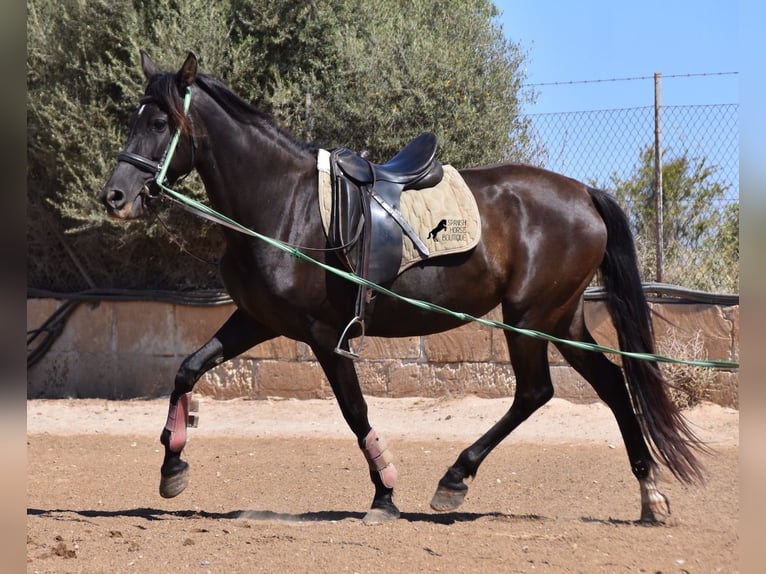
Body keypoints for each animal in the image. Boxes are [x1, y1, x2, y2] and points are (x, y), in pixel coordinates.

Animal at [100, 54, 708, 528]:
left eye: (160, 122)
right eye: (134, 119)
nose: (115, 196)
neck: (283, 203)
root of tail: (584, 193)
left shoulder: (324, 334)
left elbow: (355, 411)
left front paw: (386, 492)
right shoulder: (258, 320)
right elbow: (186, 370)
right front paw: (172, 468)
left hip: (530, 316)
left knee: (537, 392)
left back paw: (456, 478)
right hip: (560, 318)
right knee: (610, 385)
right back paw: (650, 496)